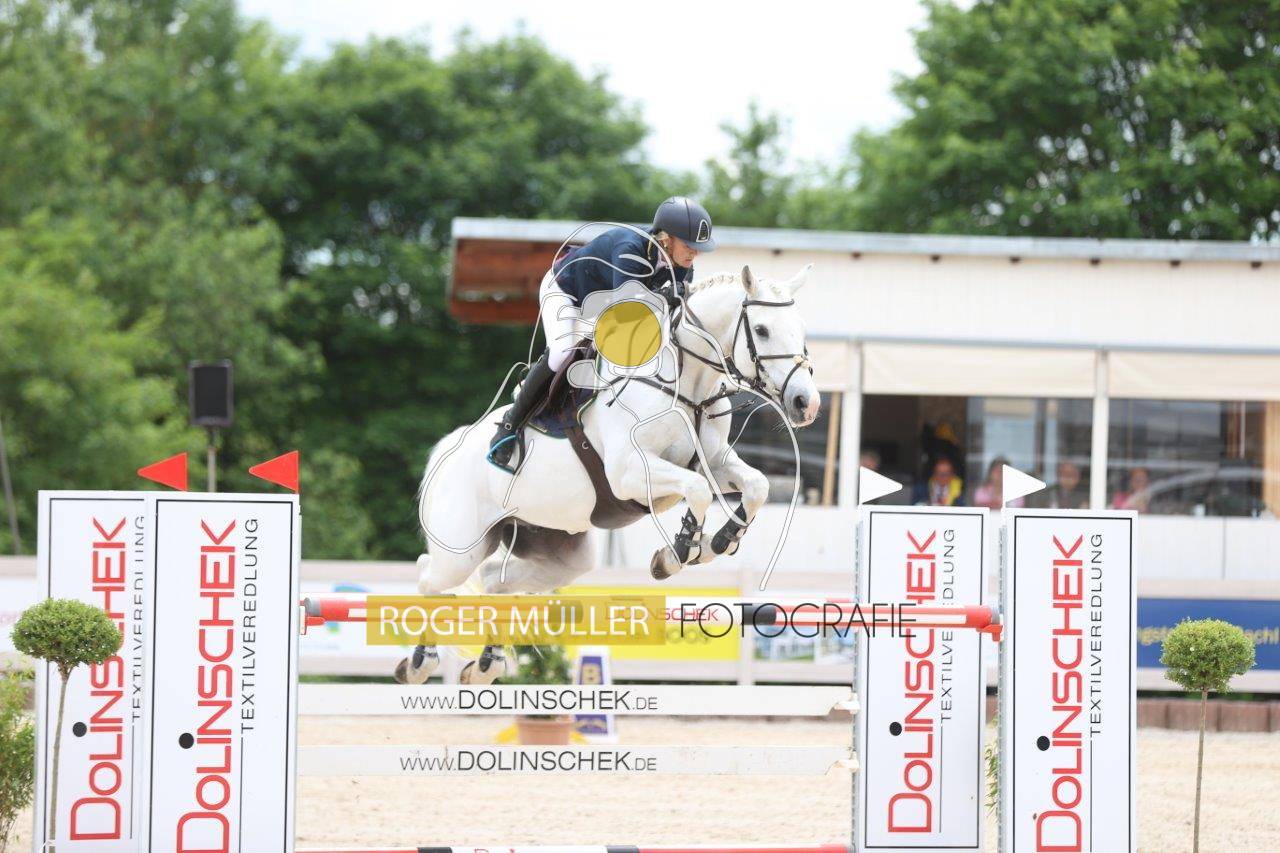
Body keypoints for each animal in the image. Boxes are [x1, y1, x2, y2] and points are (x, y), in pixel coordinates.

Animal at [395, 264, 820, 684]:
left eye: (801, 328)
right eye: (761, 330)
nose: (806, 403)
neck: (689, 384)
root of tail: (447, 448)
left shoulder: (713, 461)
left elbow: (756, 486)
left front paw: (721, 541)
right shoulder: (628, 471)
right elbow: (698, 490)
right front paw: (678, 553)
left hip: (562, 552)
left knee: (492, 579)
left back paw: (487, 665)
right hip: (460, 548)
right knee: (428, 575)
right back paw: (419, 663)